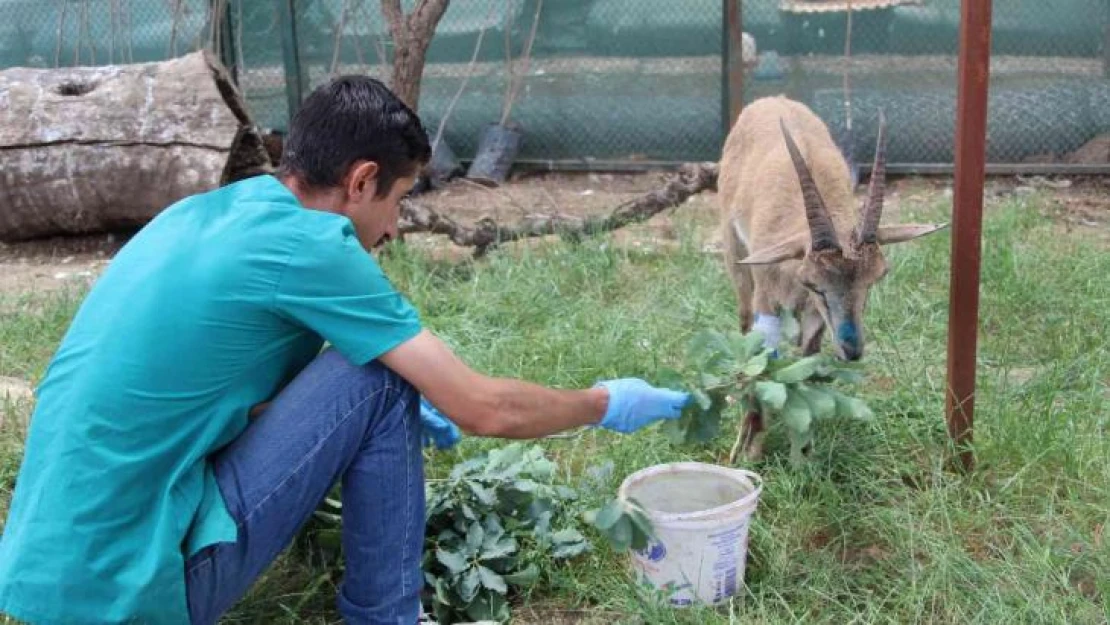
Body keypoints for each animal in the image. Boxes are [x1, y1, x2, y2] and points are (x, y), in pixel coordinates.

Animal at [719, 96, 945, 459]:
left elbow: (807, 359)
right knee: (742, 322)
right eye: (816, 285)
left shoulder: (816, 317)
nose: (852, 350)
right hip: (735, 256)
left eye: (875, 279)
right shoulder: (767, 295)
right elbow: (761, 357)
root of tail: (771, 100)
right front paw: (749, 449)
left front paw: (804, 447)